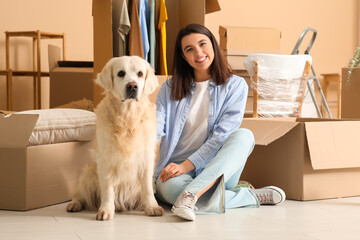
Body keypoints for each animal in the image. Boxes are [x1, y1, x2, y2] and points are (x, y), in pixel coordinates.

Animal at [66, 55, 165, 220]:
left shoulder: (146, 158)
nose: (132, 86)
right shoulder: (106, 159)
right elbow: (107, 188)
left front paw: (152, 207)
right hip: (89, 174)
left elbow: (147, 187)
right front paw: (106, 210)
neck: (127, 118)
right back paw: (74, 204)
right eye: (120, 73)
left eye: (140, 73)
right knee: (81, 194)